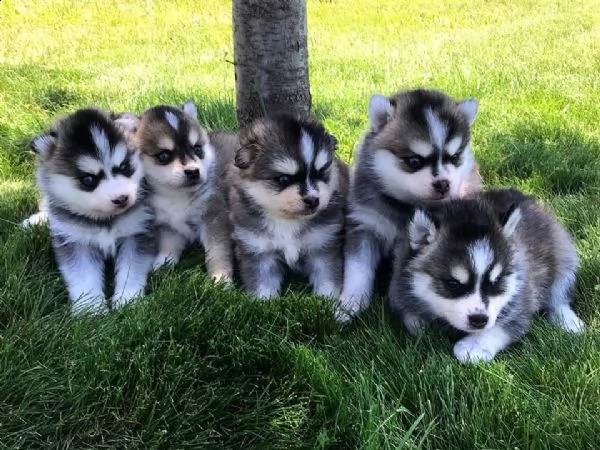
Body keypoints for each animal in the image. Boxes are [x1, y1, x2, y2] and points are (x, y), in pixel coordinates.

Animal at [129, 101, 234, 282]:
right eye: (164, 155)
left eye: (197, 149)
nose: (193, 172)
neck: (176, 195)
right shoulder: (167, 224)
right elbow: (169, 245)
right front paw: (162, 263)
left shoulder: (214, 216)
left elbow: (217, 251)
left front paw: (220, 278)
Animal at [213, 114, 350, 300]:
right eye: (284, 179)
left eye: (320, 173)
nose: (313, 200)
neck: (287, 220)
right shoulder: (260, 251)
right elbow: (262, 284)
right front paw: (264, 301)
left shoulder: (322, 246)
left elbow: (327, 278)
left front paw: (327, 300)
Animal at [338, 88, 482, 322]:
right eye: (414, 161)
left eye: (454, 157)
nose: (443, 184)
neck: (407, 207)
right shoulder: (365, 225)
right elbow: (357, 270)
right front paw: (349, 305)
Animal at [390, 188, 584, 364]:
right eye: (453, 283)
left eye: (496, 281)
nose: (479, 320)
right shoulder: (400, 288)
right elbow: (412, 319)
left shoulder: (521, 300)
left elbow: (504, 326)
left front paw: (473, 347)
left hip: (563, 256)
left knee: (558, 297)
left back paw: (569, 322)